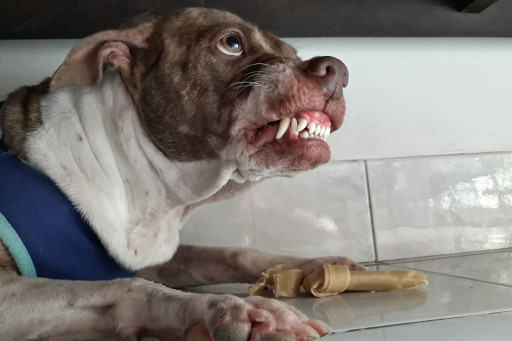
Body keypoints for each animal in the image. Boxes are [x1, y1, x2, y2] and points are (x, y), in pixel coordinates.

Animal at [0, 5, 362, 340]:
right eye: (231, 43)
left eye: (294, 55)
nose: (337, 69)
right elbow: (125, 287)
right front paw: (238, 310)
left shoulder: (151, 256)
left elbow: (228, 253)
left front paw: (316, 265)